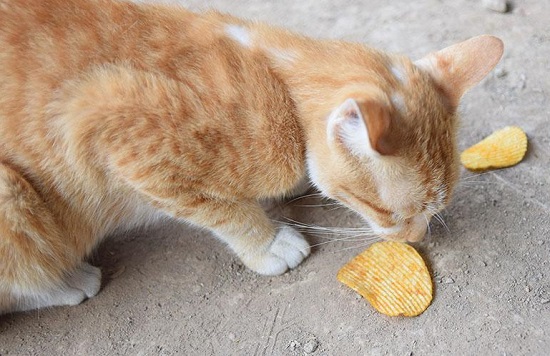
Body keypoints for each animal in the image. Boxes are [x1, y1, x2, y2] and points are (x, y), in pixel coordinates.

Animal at [0, 0, 504, 312]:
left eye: (435, 210)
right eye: (389, 212)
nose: (416, 239)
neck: (275, 75)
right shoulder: (110, 126)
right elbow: (222, 210)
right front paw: (267, 242)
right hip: (14, 198)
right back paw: (67, 282)